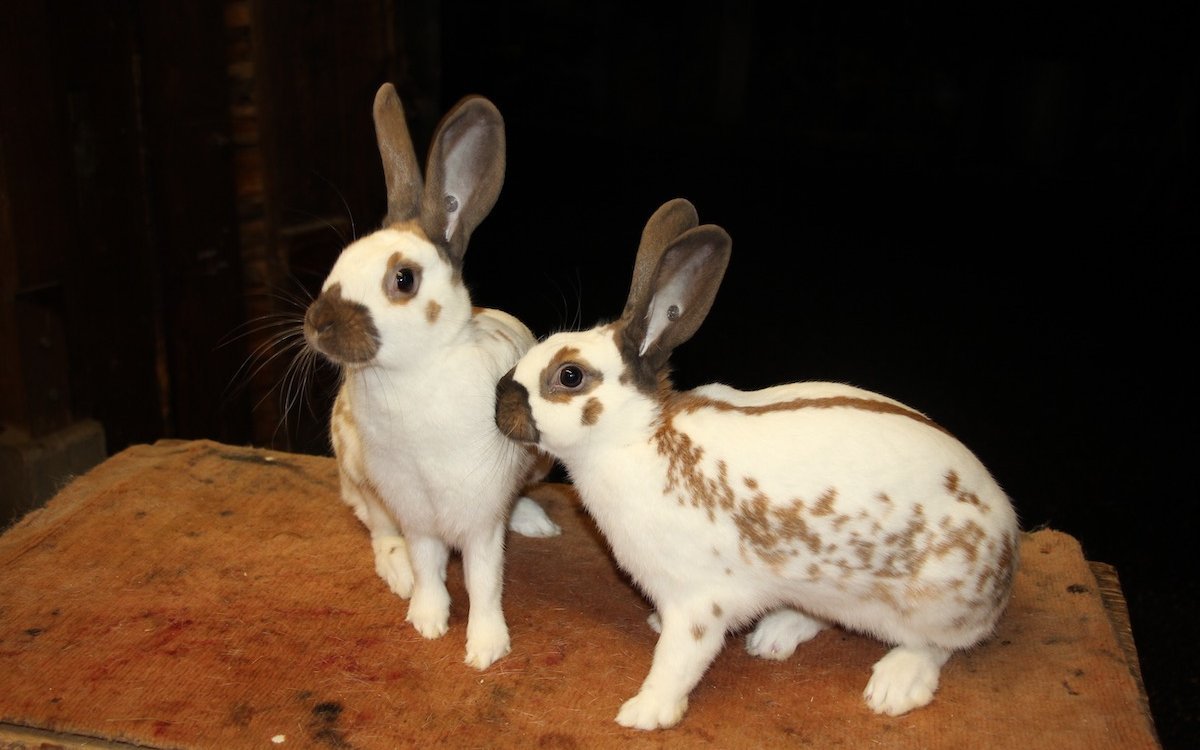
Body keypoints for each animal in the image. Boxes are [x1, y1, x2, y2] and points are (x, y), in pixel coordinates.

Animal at [303, 83, 561, 671]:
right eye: (341, 259)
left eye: (403, 279)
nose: (318, 324)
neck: (410, 375)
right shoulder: (413, 509)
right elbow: (426, 564)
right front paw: (427, 618)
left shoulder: (480, 515)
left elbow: (485, 580)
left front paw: (486, 648)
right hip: (356, 474)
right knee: (378, 531)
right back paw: (394, 570)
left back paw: (534, 521)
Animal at [494, 198, 1020, 729]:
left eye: (569, 375)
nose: (500, 402)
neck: (637, 436)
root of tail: (1008, 546)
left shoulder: (698, 601)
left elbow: (677, 660)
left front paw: (645, 712)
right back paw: (775, 634)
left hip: (928, 604)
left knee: (938, 644)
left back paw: (894, 685)